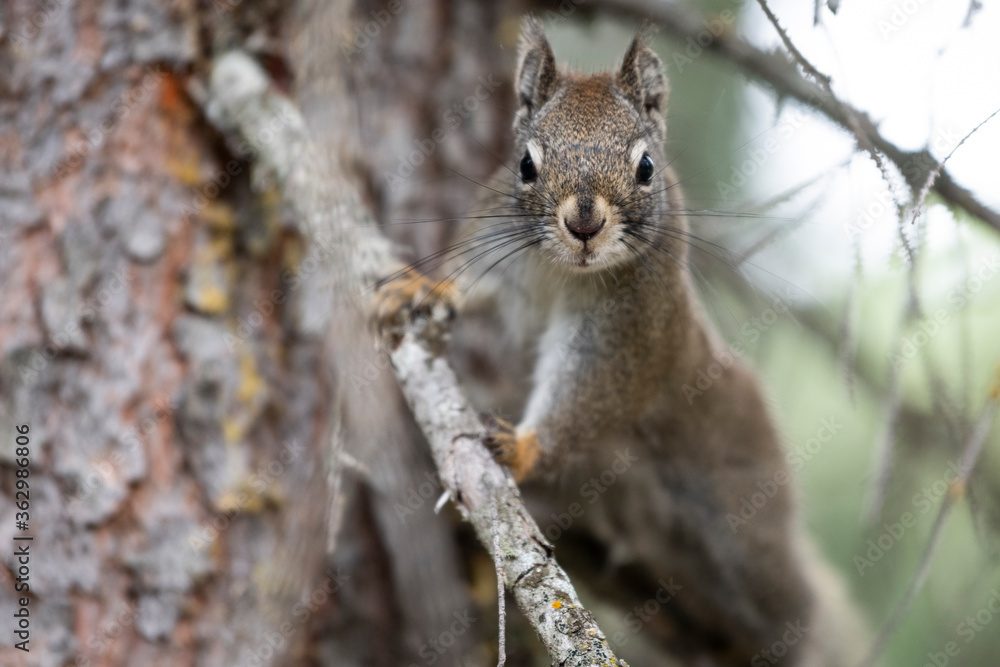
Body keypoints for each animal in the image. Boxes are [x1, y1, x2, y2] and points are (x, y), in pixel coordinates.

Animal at [376, 17, 866, 666]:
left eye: (647, 167)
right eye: (525, 164)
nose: (584, 223)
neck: (564, 272)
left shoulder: (629, 330)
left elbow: (589, 391)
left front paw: (523, 446)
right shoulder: (498, 245)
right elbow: (469, 282)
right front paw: (421, 285)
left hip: (744, 532)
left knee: (789, 607)